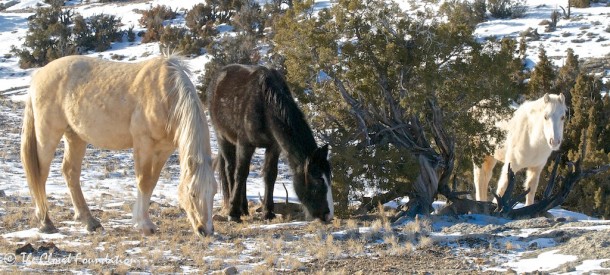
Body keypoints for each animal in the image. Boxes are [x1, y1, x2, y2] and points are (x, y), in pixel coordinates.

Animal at [20, 54, 216, 237]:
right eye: (192, 193)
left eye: (214, 192)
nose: (205, 230)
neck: (166, 95)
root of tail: (38, 76)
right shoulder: (143, 143)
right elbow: (144, 181)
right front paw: (144, 225)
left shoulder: (164, 149)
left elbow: (152, 182)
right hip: (47, 134)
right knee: (40, 174)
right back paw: (46, 222)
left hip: (75, 136)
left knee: (70, 172)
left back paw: (90, 222)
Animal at [209, 63, 332, 223]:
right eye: (318, 179)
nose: (328, 215)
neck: (265, 105)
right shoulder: (245, 144)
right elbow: (241, 174)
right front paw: (233, 213)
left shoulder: (274, 147)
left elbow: (270, 175)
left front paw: (268, 213)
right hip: (223, 138)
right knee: (231, 169)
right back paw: (236, 208)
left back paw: (244, 209)